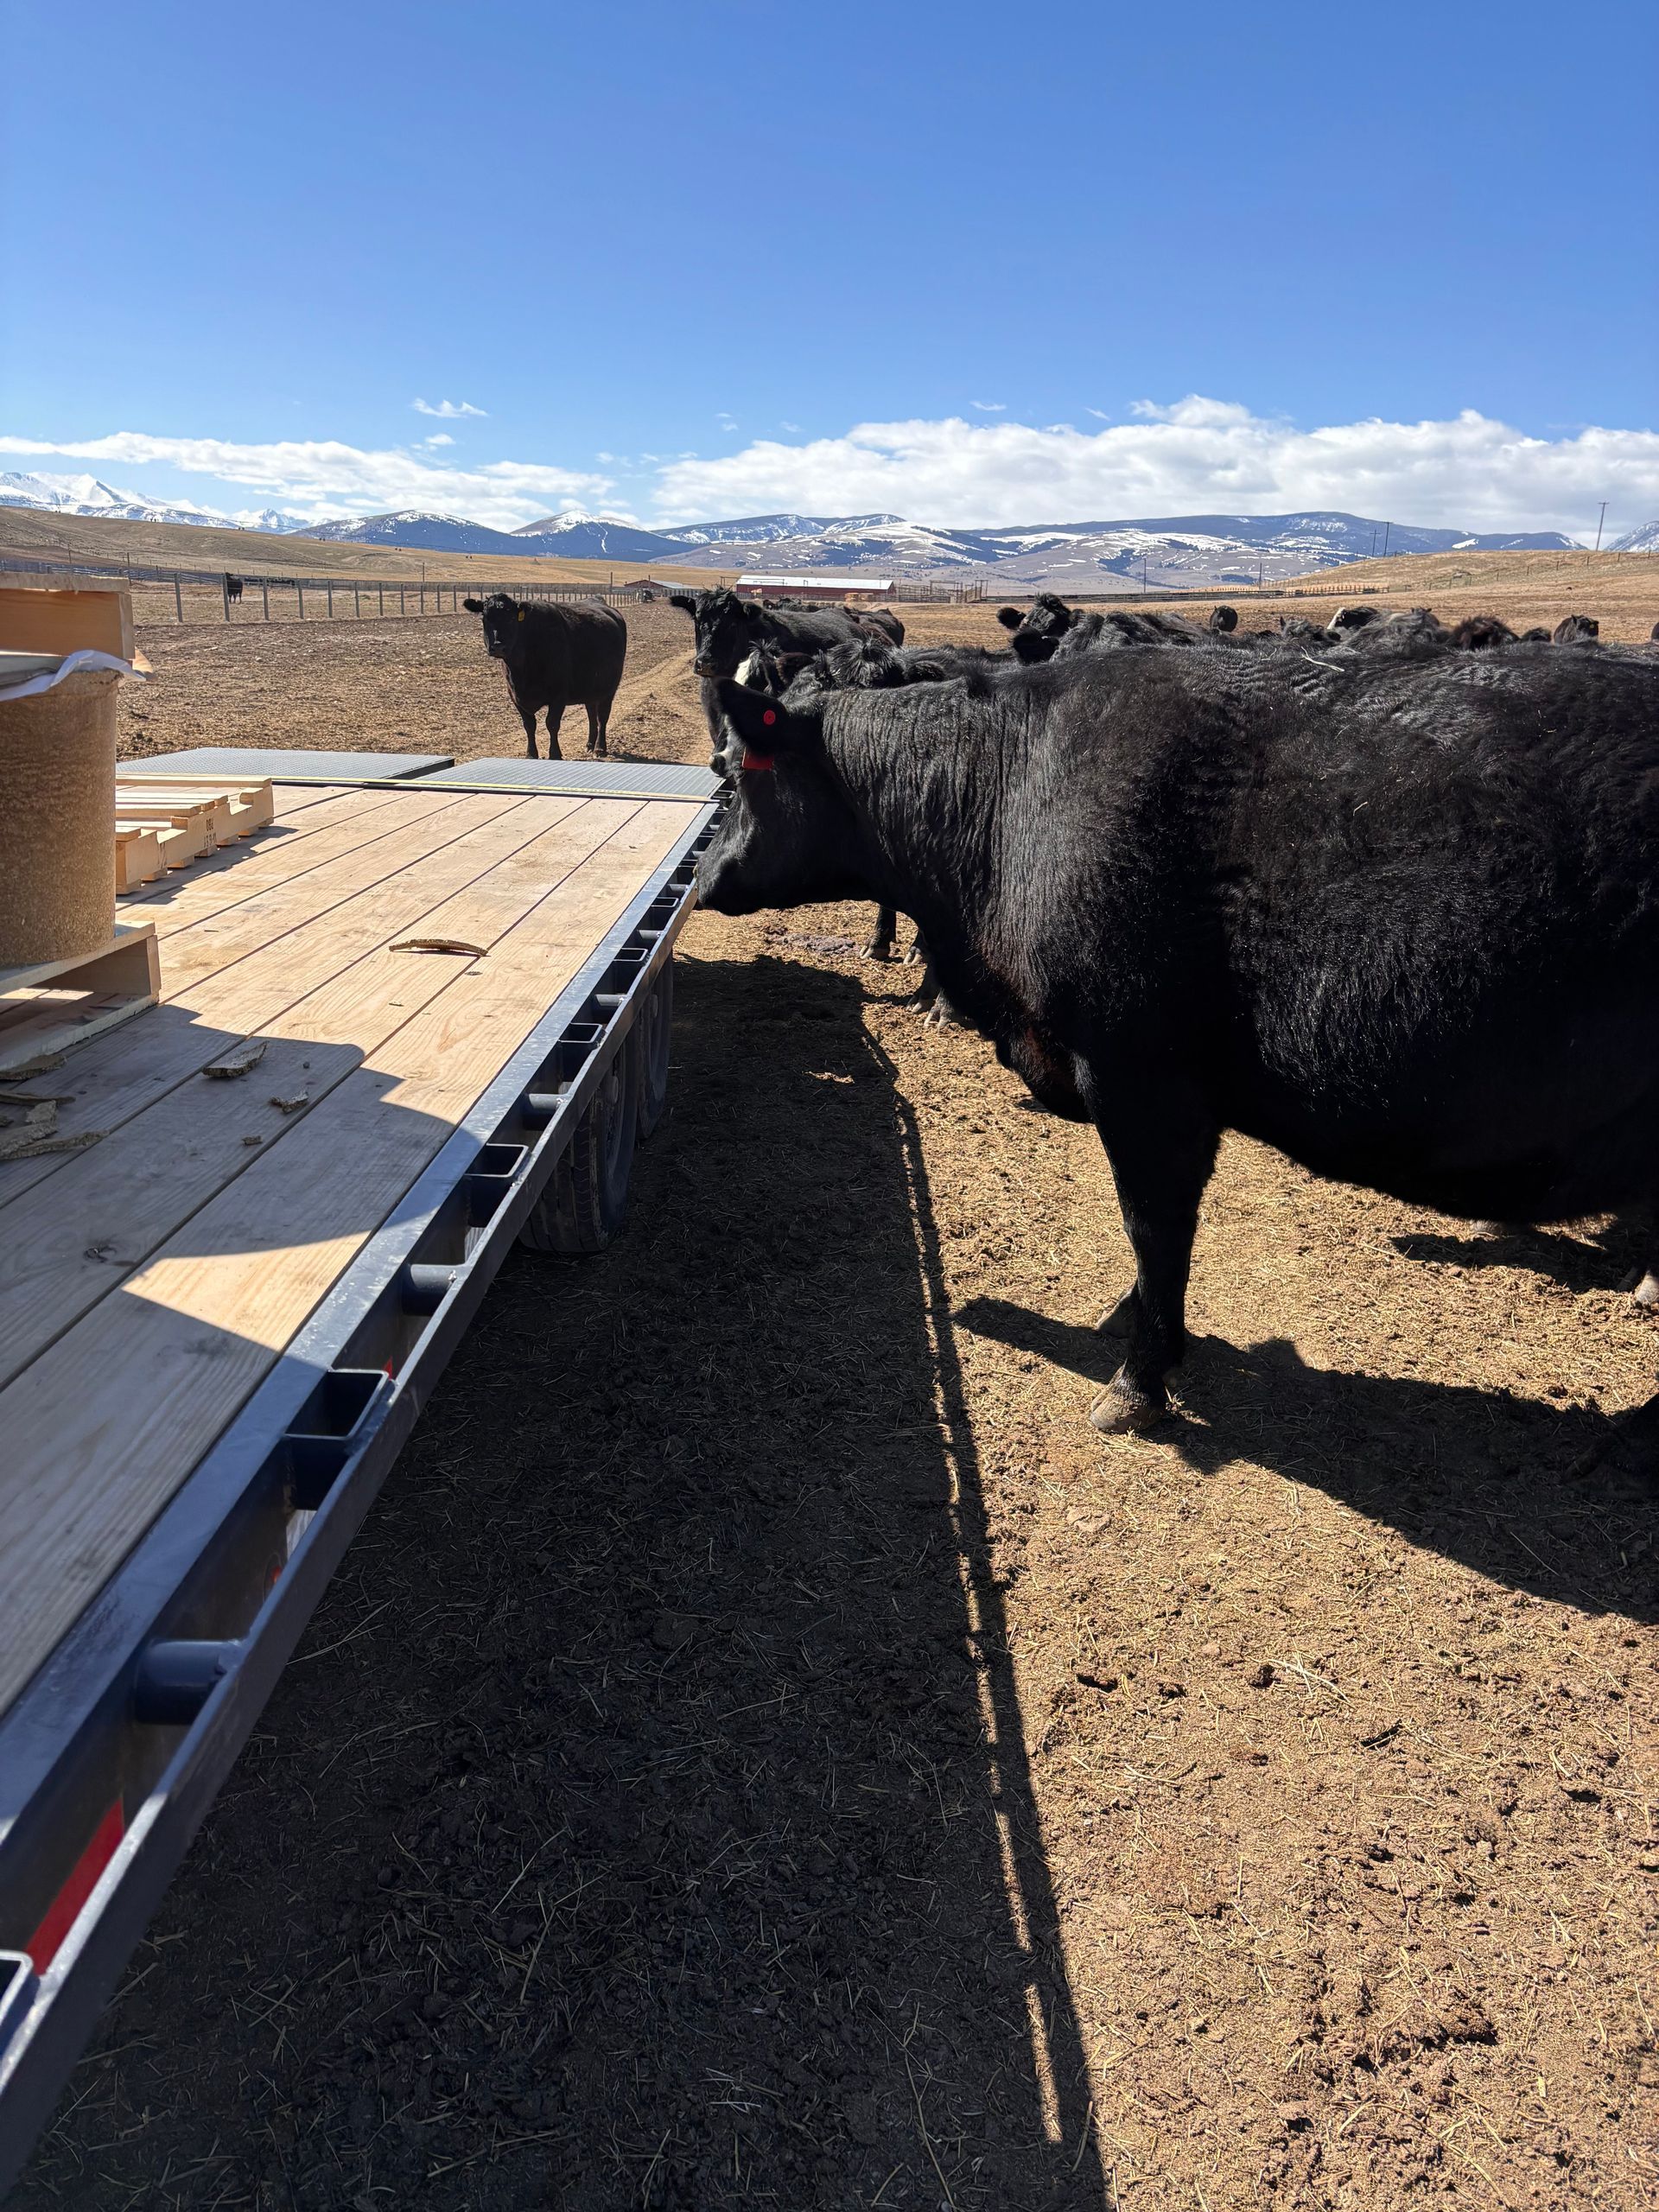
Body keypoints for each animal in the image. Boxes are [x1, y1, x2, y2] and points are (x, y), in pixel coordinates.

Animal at [461, 593, 626, 758]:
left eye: (512, 618)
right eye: (485, 618)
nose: (498, 646)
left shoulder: (559, 695)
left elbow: (552, 724)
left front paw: (555, 754)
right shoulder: (514, 695)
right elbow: (529, 725)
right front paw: (531, 754)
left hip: (610, 687)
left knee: (602, 716)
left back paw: (600, 748)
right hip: (590, 687)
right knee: (591, 713)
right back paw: (590, 744)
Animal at [697, 635, 1659, 1460]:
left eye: (733, 777)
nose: (701, 879)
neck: (1009, 799)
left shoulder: (1141, 1080)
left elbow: (1155, 1228)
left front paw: (1139, 1378)